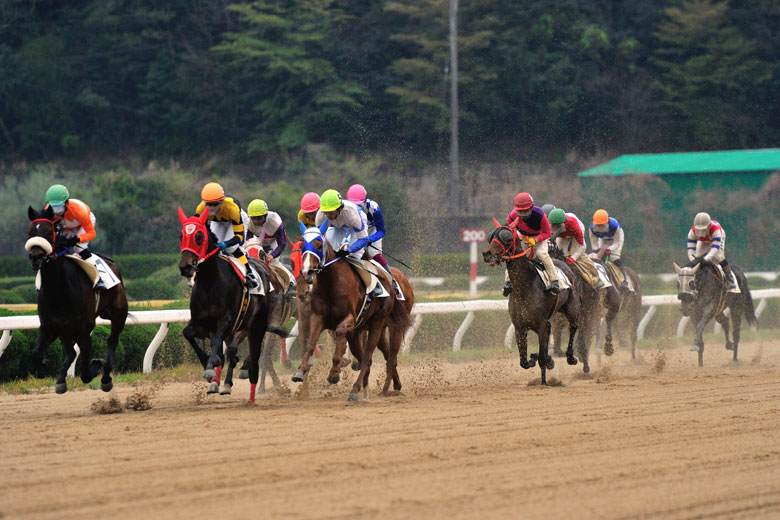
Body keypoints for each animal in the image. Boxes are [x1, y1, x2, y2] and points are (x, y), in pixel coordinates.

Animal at [25, 205, 128, 394]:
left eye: (49, 232)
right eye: (30, 232)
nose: (36, 257)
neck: (60, 291)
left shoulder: (84, 329)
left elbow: (85, 369)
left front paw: (97, 365)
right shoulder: (51, 326)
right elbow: (38, 354)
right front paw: (45, 370)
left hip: (118, 313)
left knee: (112, 341)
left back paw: (106, 377)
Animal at [178, 208, 279, 403]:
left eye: (199, 236)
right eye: (181, 236)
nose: (185, 267)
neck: (210, 283)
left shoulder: (226, 321)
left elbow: (219, 344)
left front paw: (212, 369)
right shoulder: (200, 323)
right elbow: (188, 334)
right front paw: (209, 366)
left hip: (254, 324)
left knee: (245, 350)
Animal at [292, 224, 411, 401]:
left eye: (319, 244)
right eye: (302, 247)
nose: (307, 272)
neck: (331, 283)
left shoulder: (349, 319)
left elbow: (340, 334)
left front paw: (335, 372)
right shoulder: (317, 317)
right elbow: (310, 343)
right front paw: (300, 370)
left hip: (384, 324)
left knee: (374, 358)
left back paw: (360, 391)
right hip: (366, 330)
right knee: (375, 357)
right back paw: (386, 386)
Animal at [482, 219, 579, 385]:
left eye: (507, 236)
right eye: (490, 236)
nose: (487, 254)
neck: (525, 286)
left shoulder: (541, 325)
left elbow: (542, 358)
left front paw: (545, 377)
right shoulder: (520, 327)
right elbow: (524, 362)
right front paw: (536, 358)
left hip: (572, 309)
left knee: (573, 327)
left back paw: (570, 356)